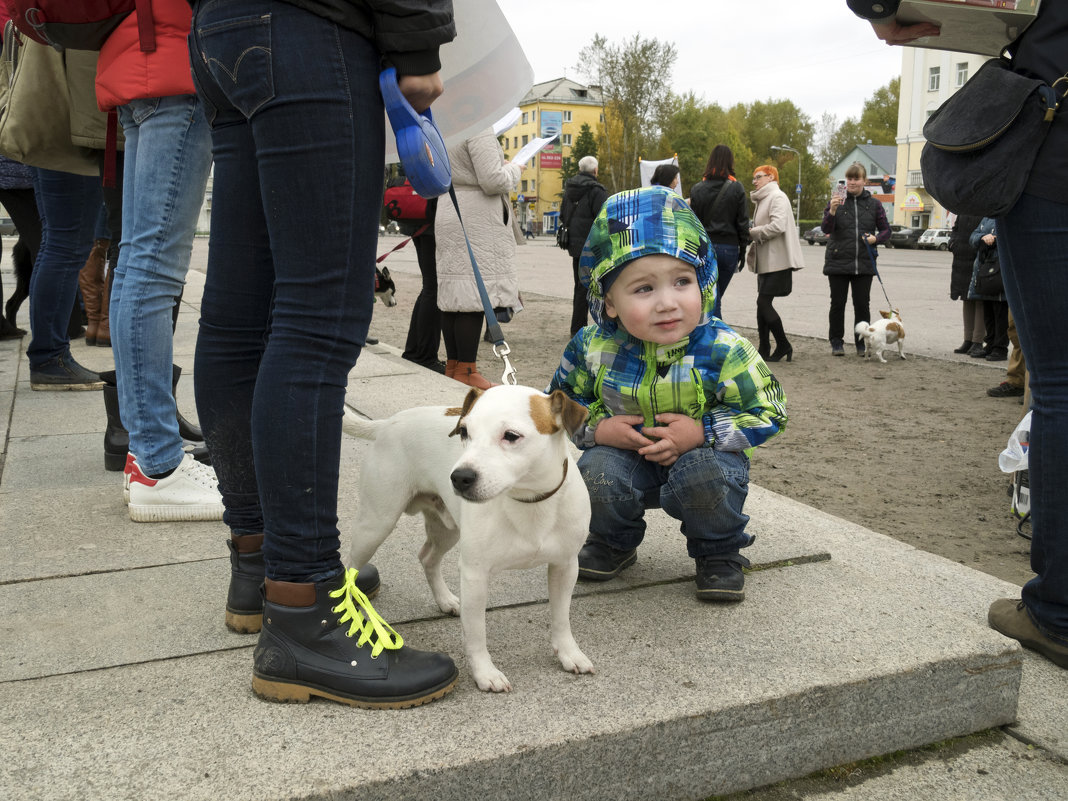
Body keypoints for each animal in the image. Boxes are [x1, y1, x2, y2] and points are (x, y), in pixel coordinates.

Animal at [341, 386, 593, 692]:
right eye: (464, 432)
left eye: (511, 436)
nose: (459, 477)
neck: (528, 501)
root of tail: (387, 423)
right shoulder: (475, 575)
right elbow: (476, 632)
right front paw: (485, 673)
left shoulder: (565, 566)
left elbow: (561, 617)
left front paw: (569, 653)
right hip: (375, 524)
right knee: (350, 567)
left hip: (446, 529)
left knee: (427, 557)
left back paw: (445, 600)